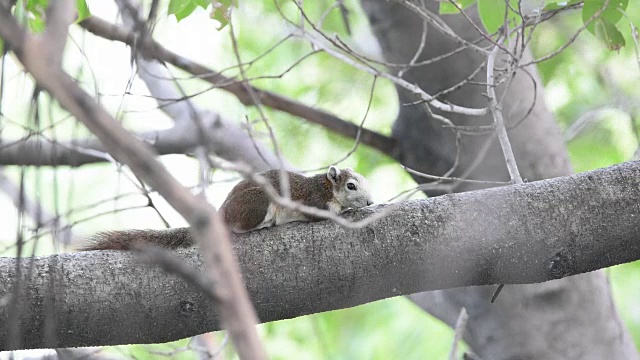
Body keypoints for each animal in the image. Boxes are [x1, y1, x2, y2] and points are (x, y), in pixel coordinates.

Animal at [80, 166, 372, 250]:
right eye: (351, 186)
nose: (370, 202)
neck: (327, 187)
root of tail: (221, 215)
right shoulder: (313, 201)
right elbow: (322, 214)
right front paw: (345, 212)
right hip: (258, 203)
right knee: (239, 228)